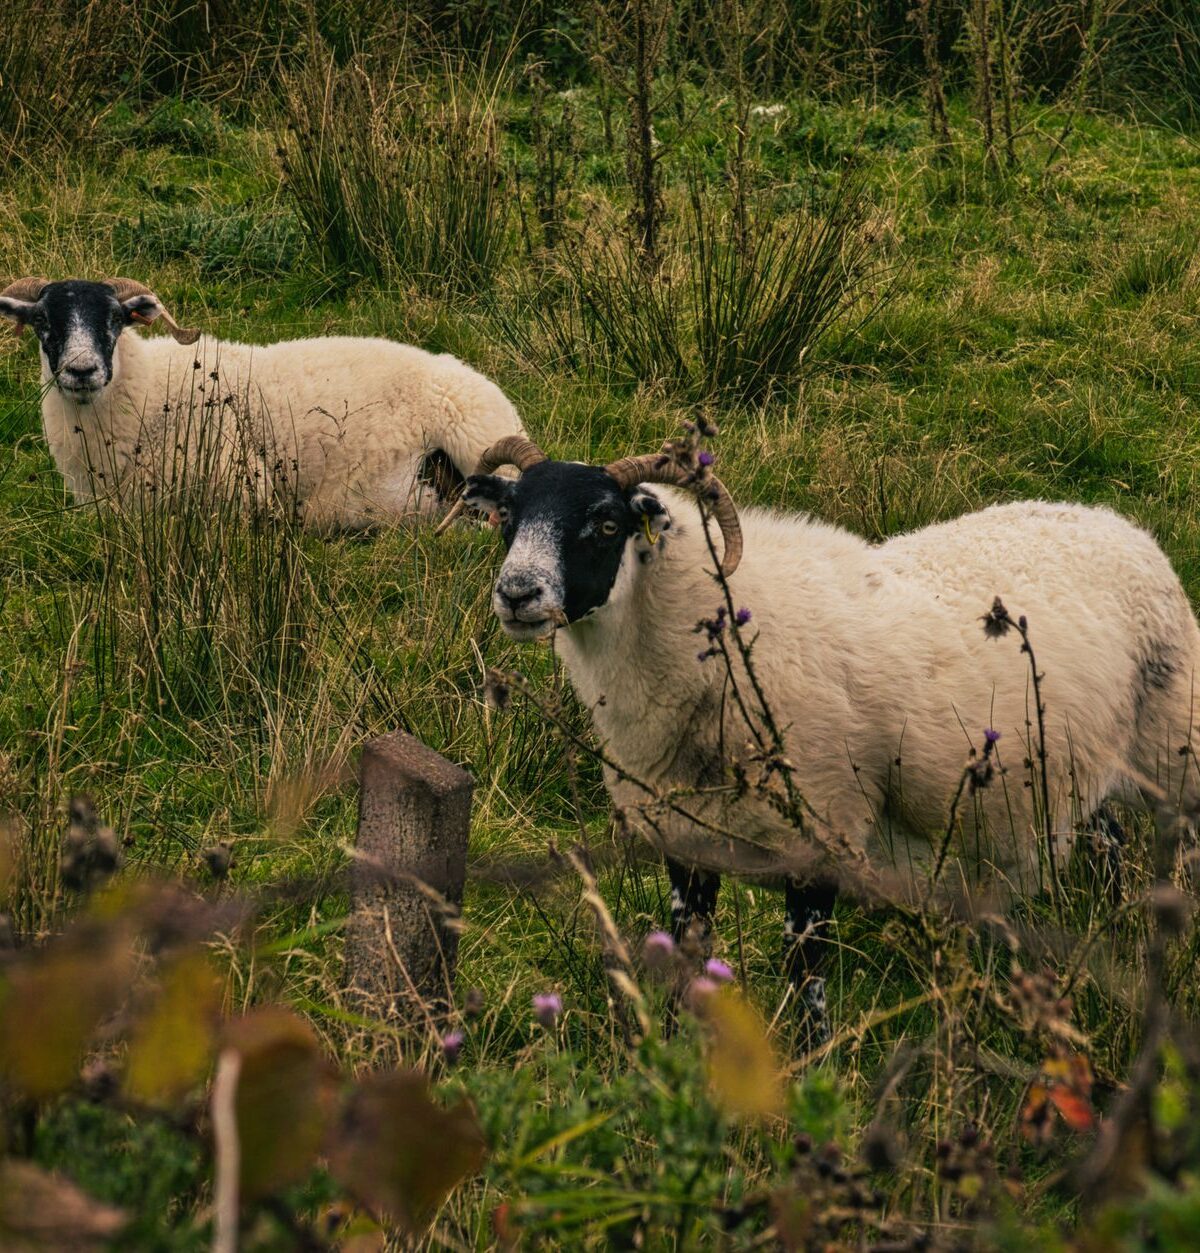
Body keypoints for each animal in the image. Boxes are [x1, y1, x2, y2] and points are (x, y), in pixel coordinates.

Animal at [461, 435, 1200, 1036]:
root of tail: (1118, 524)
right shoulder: (687, 842)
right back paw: (1107, 929)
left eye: (607, 522)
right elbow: (685, 958)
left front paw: (811, 1074)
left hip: (1175, 749)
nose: (518, 594)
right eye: (510, 519)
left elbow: (806, 978)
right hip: (1079, 760)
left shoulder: (823, 832)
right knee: (1109, 839)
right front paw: (672, 1060)